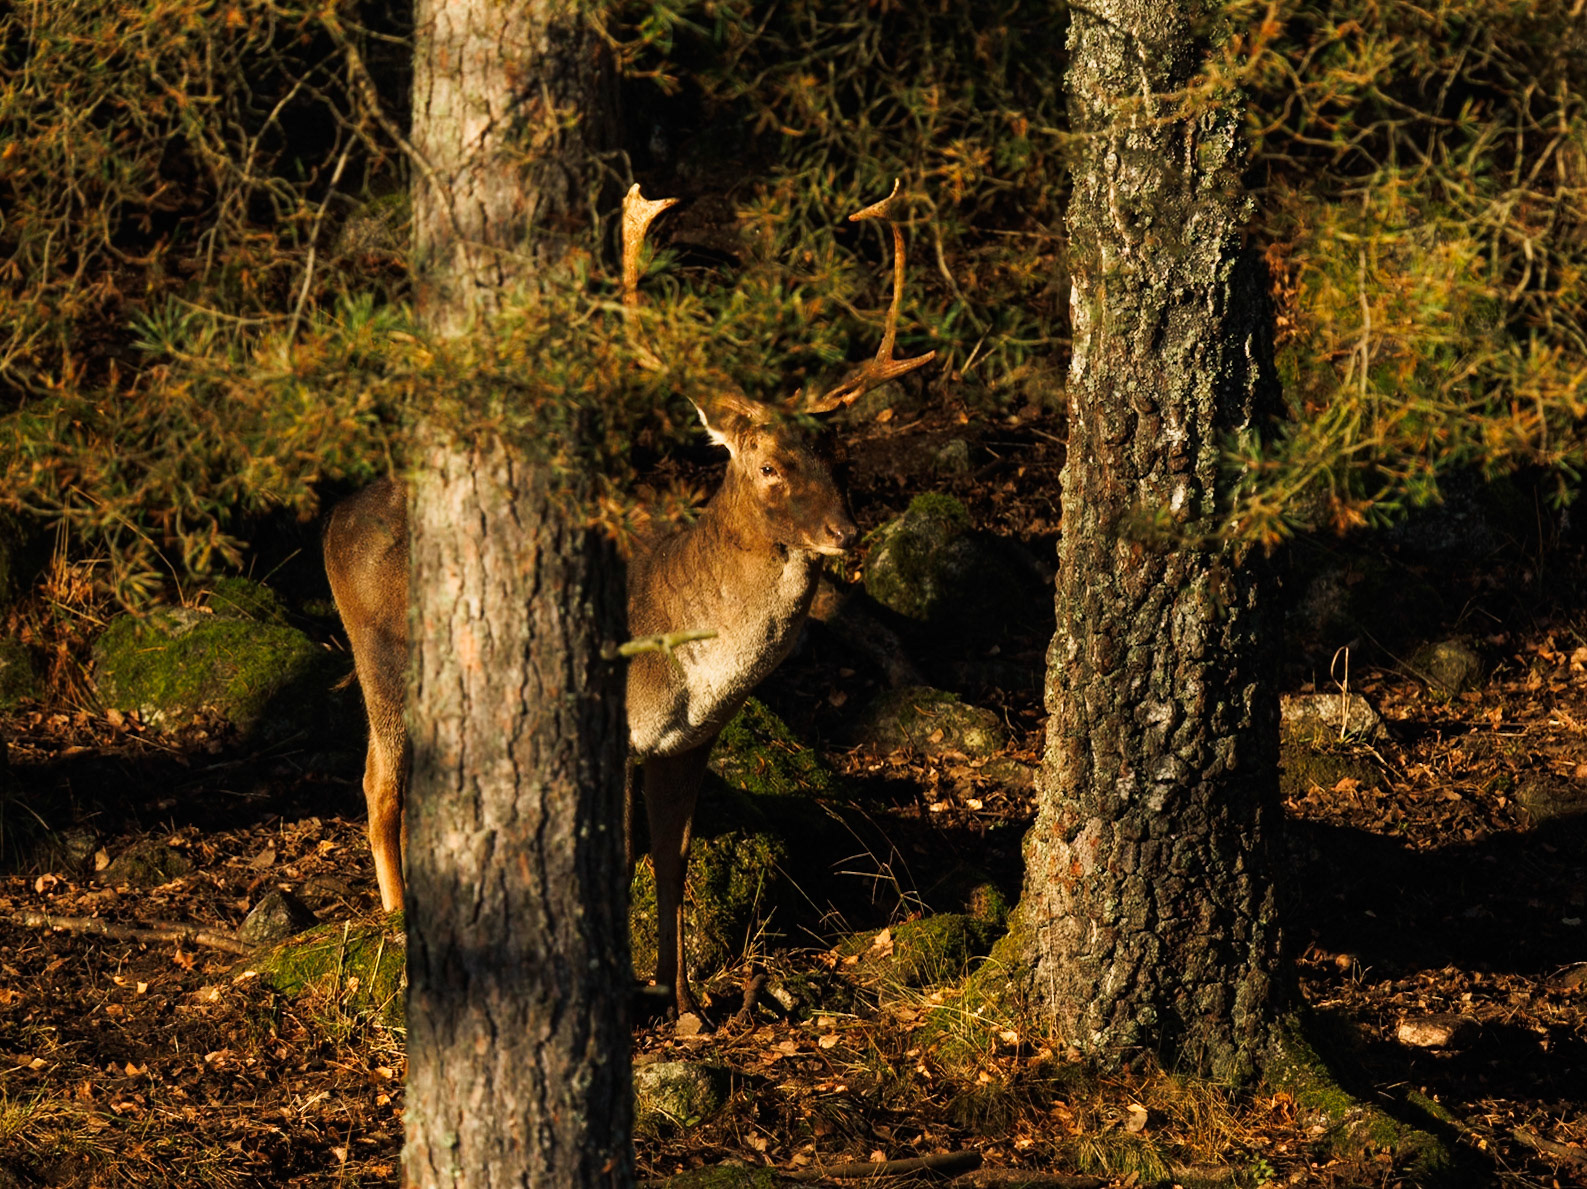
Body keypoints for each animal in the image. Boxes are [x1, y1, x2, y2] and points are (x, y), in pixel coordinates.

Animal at [323, 181, 934, 1016]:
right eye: (770, 466)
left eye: (835, 458)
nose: (846, 530)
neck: (696, 664)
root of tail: (333, 516)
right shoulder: (613, 730)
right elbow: (615, 866)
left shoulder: (687, 742)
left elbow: (672, 863)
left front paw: (684, 1003)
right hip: (376, 650)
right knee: (378, 780)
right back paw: (393, 913)